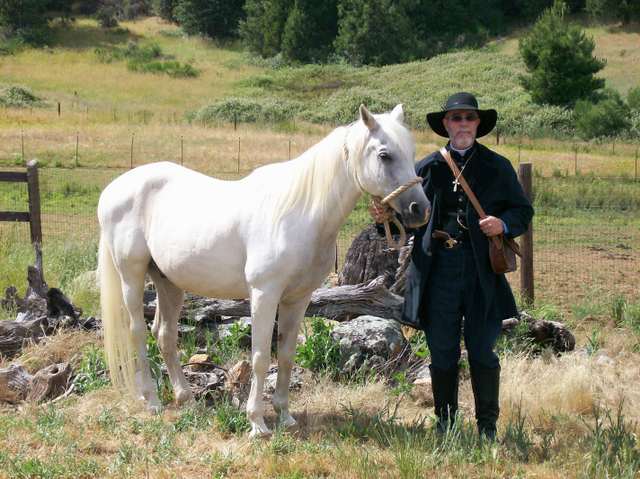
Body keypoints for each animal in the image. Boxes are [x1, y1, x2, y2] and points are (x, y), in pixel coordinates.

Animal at [99, 105, 430, 438]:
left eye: (411, 150)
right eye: (385, 155)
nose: (420, 210)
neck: (300, 213)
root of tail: (113, 190)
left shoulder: (298, 299)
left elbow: (285, 354)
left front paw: (285, 416)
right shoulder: (264, 294)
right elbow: (260, 357)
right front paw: (257, 423)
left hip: (169, 282)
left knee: (165, 336)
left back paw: (186, 399)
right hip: (131, 276)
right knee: (138, 332)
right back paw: (152, 400)